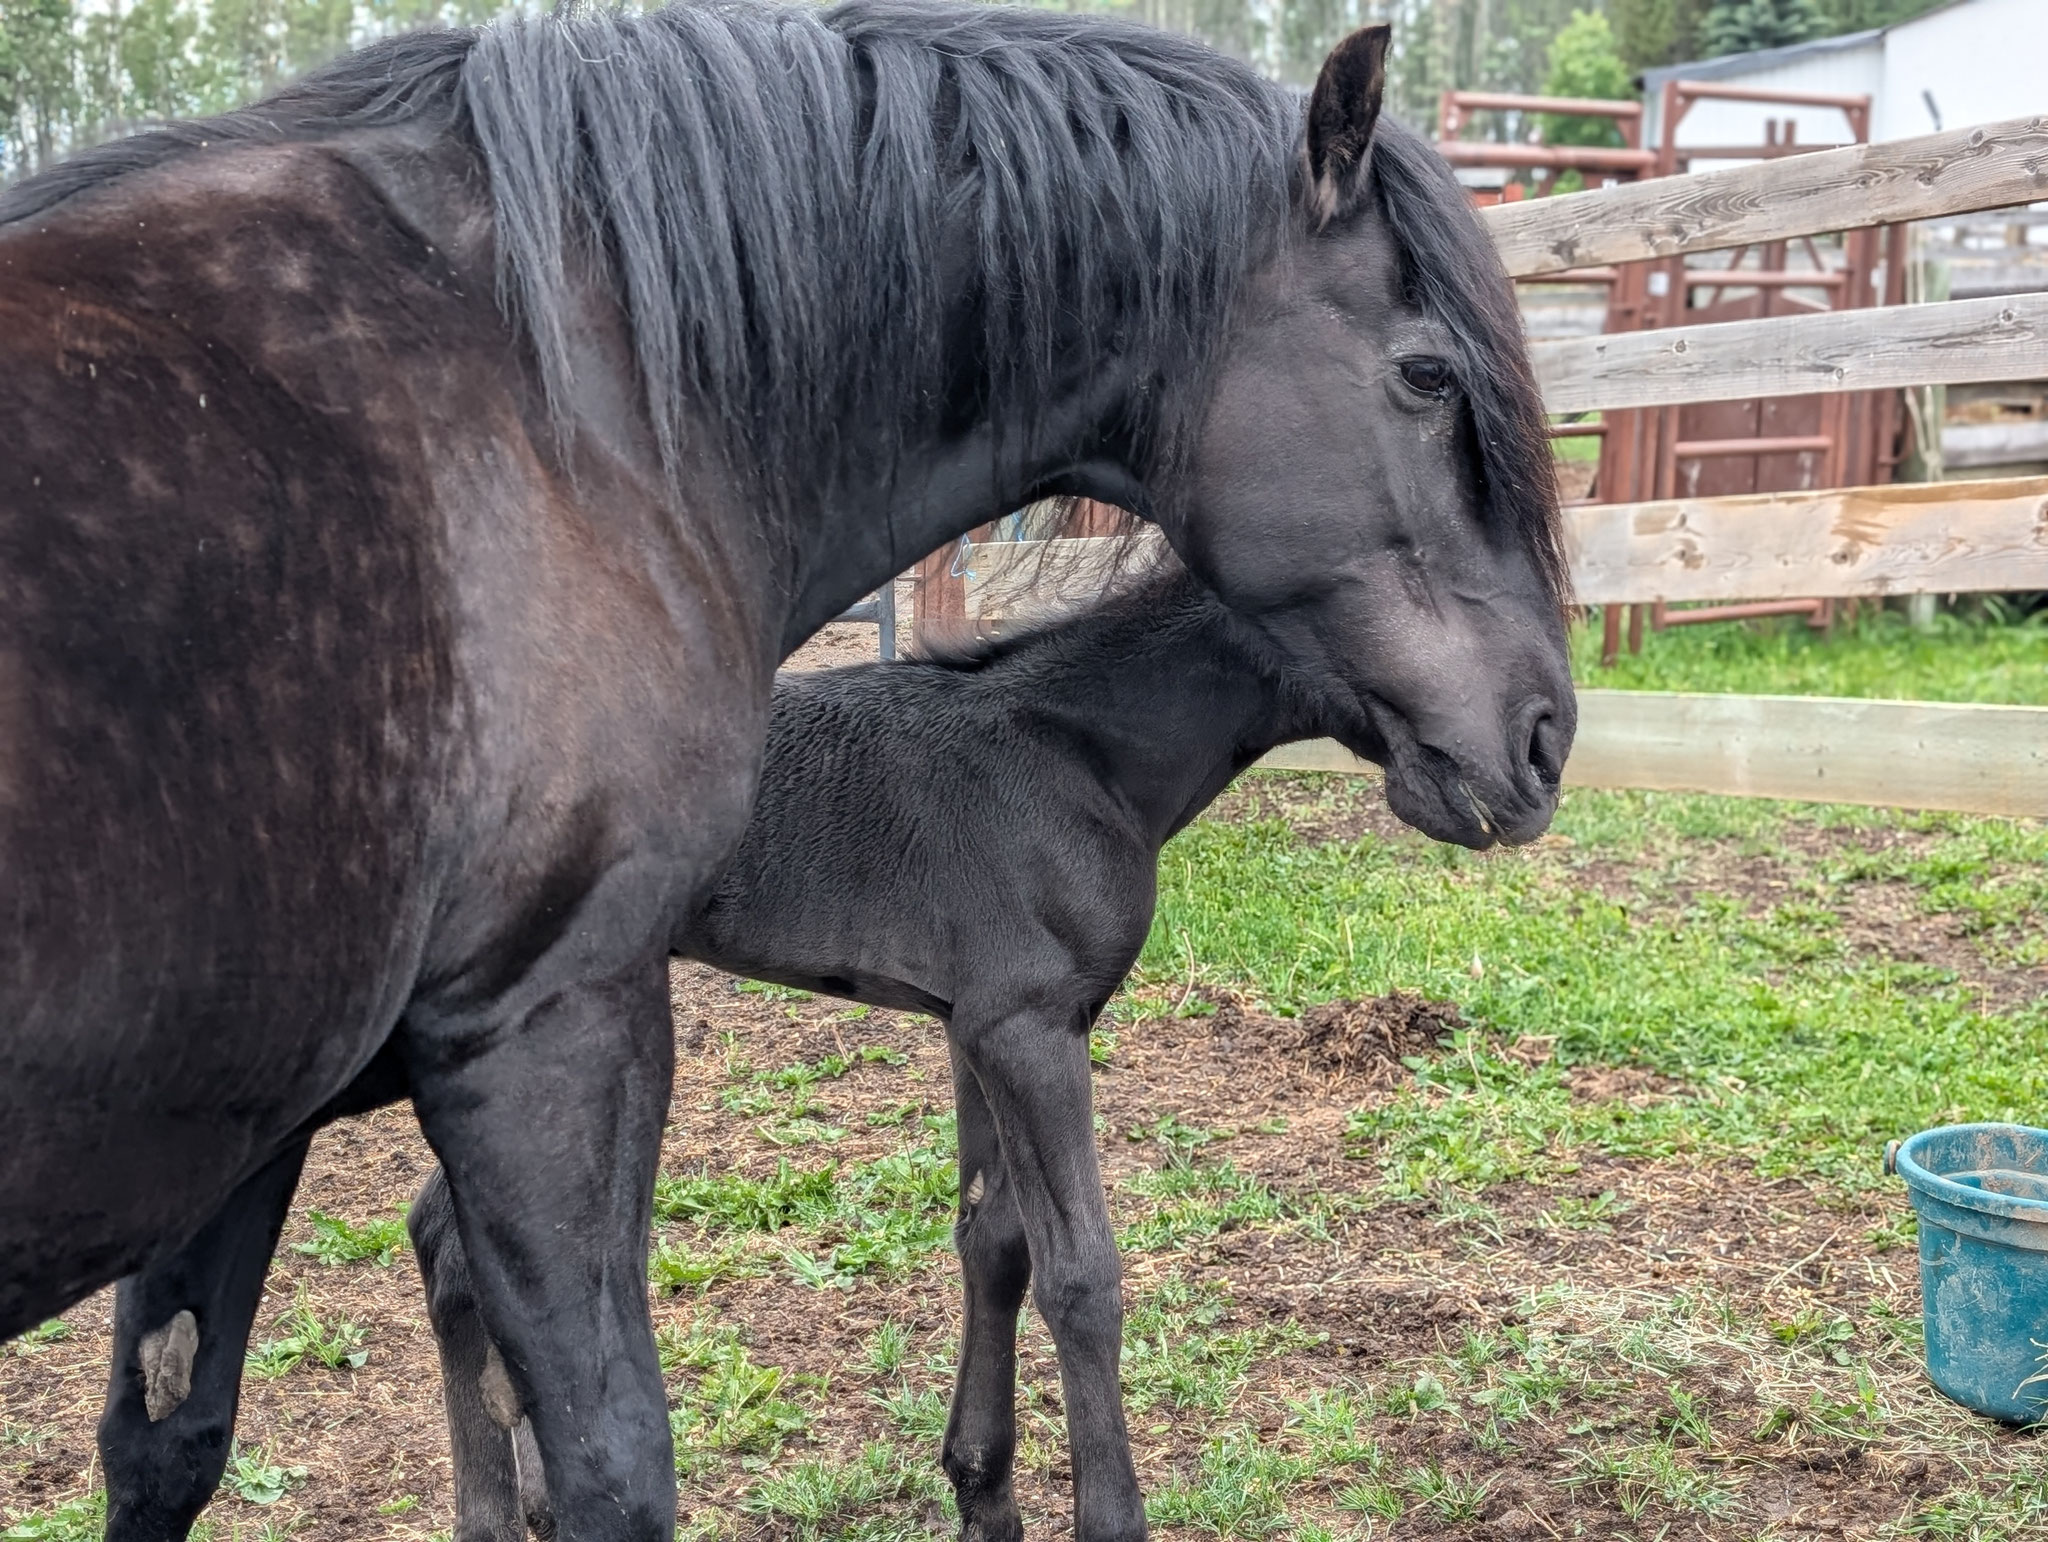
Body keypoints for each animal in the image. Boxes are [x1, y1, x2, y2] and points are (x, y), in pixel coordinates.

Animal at [1, 2, 1571, 1536]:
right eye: (1426, 372)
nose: (1542, 741)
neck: (1074, 748)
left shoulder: (969, 1022)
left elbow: (991, 1238)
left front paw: (981, 1487)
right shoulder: (1009, 1023)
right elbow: (1079, 1272)